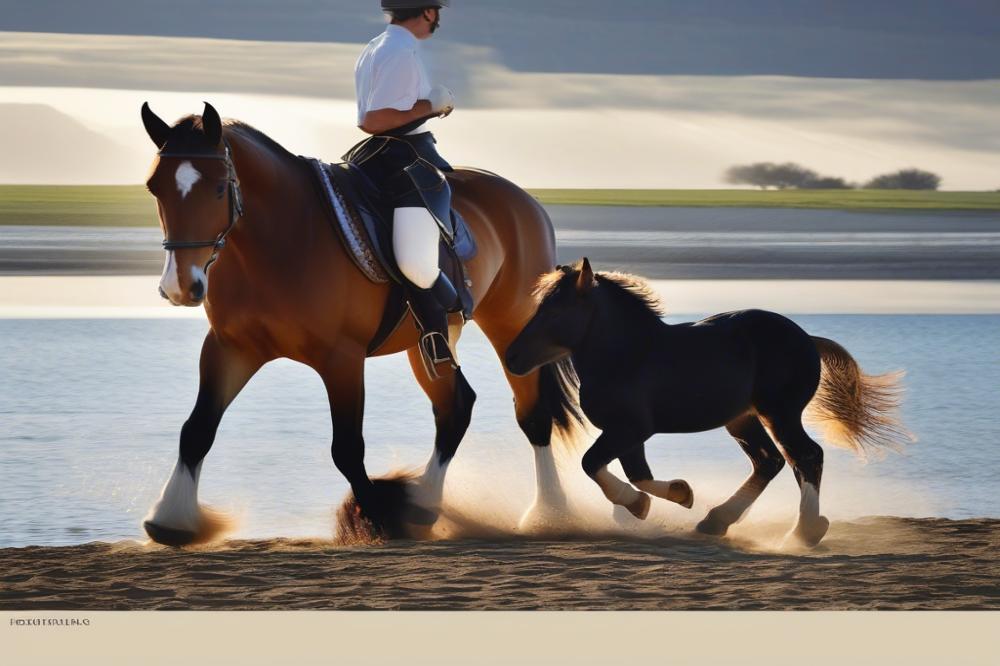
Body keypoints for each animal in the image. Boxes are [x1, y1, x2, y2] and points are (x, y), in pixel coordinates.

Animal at [137, 101, 584, 544]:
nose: (181, 286)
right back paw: (425, 503)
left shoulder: (342, 359)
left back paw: (549, 516)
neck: (282, 237)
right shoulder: (231, 348)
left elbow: (348, 449)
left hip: (511, 326)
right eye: (154, 187)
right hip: (428, 343)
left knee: (532, 414)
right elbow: (196, 430)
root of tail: (522, 198)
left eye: (217, 188)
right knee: (455, 407)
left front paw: (382, 519)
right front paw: (171, 517)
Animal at [504, 256, 912, 544]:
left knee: (806, 456)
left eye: (557, 309)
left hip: (780, 413)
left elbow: (593, 464)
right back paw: (716, 521)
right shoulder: (630, 434)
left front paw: (644, 503)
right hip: (743, 419)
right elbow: (638, 474)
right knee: (770, 461)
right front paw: (676, 495)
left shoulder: (630, 428)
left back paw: (804, 532)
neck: (629, 355)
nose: (512, 357)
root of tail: (808, 339)